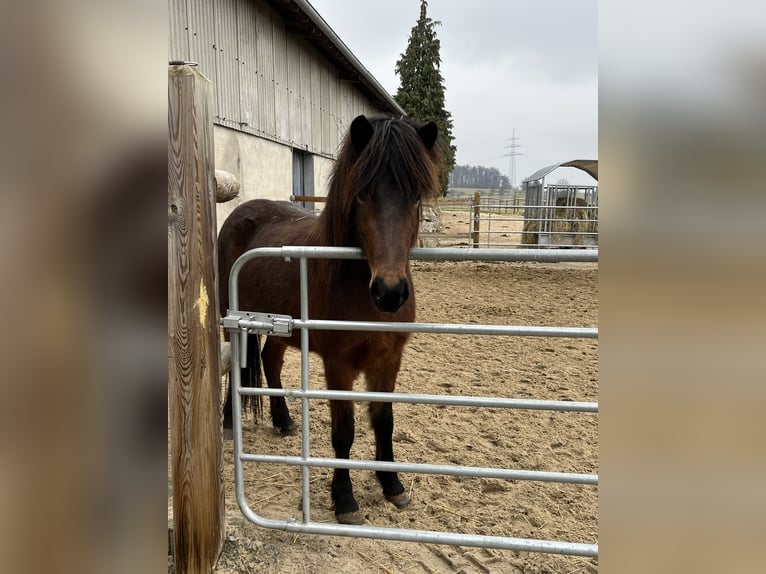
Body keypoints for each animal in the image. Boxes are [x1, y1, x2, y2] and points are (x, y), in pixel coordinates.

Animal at [218, 114, 440, 525]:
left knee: (270, 362)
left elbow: (384, 421)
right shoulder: (339, 366)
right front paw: (345, 500)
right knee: (234, 370)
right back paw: (228, 423)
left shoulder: (389, 361)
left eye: (416, 196)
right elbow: (345, 431)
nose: (389, 292)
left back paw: (285, 421)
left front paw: (393, 485)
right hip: (234, 322)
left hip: (278, 327)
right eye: (362, 194)